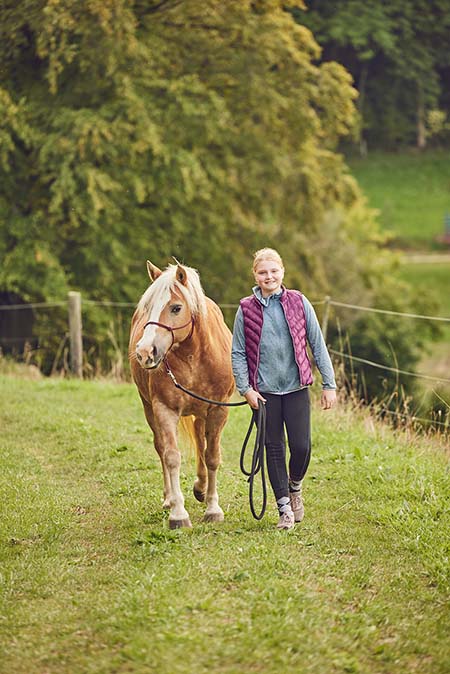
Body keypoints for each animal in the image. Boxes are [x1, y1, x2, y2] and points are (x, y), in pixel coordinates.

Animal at [129, 260, 235, 529]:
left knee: (200, 440)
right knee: (161, 446)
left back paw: (201, 487)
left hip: (201, 412)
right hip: (149, 408)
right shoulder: (164, 409)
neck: (194, 357)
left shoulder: (218, 409)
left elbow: (212, 456)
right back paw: (170, 498)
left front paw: (213, 508)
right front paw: (178, 513)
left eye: (176, 308)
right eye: (148, 307)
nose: (145, 352)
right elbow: (171, 457)